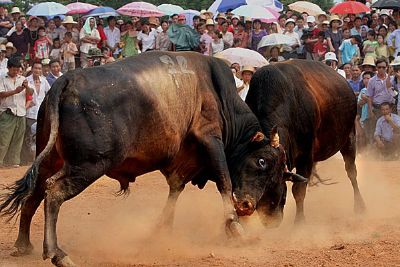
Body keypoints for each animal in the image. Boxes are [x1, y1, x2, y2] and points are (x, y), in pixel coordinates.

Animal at [0, 52, 304, 267]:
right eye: (262, 162)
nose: (250, 207)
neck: (220, 98)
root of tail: (65, 80)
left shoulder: (183, 162)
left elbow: (175, 191)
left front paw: (161, 231)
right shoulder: (210, 139)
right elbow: (224, 181)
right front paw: (234, 227)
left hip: (50, 157)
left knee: (34, 193)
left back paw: (23, 245)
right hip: (89, 165)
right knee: (53, 192)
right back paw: (57, 253)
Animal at [233, 59, 368, 227]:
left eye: (272, 180)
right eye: (237, 174)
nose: (243, 205)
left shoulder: (305, 156)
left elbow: (298, 190)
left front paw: (299, 223)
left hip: (349, 138)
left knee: (351, 172)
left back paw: (360, 206)